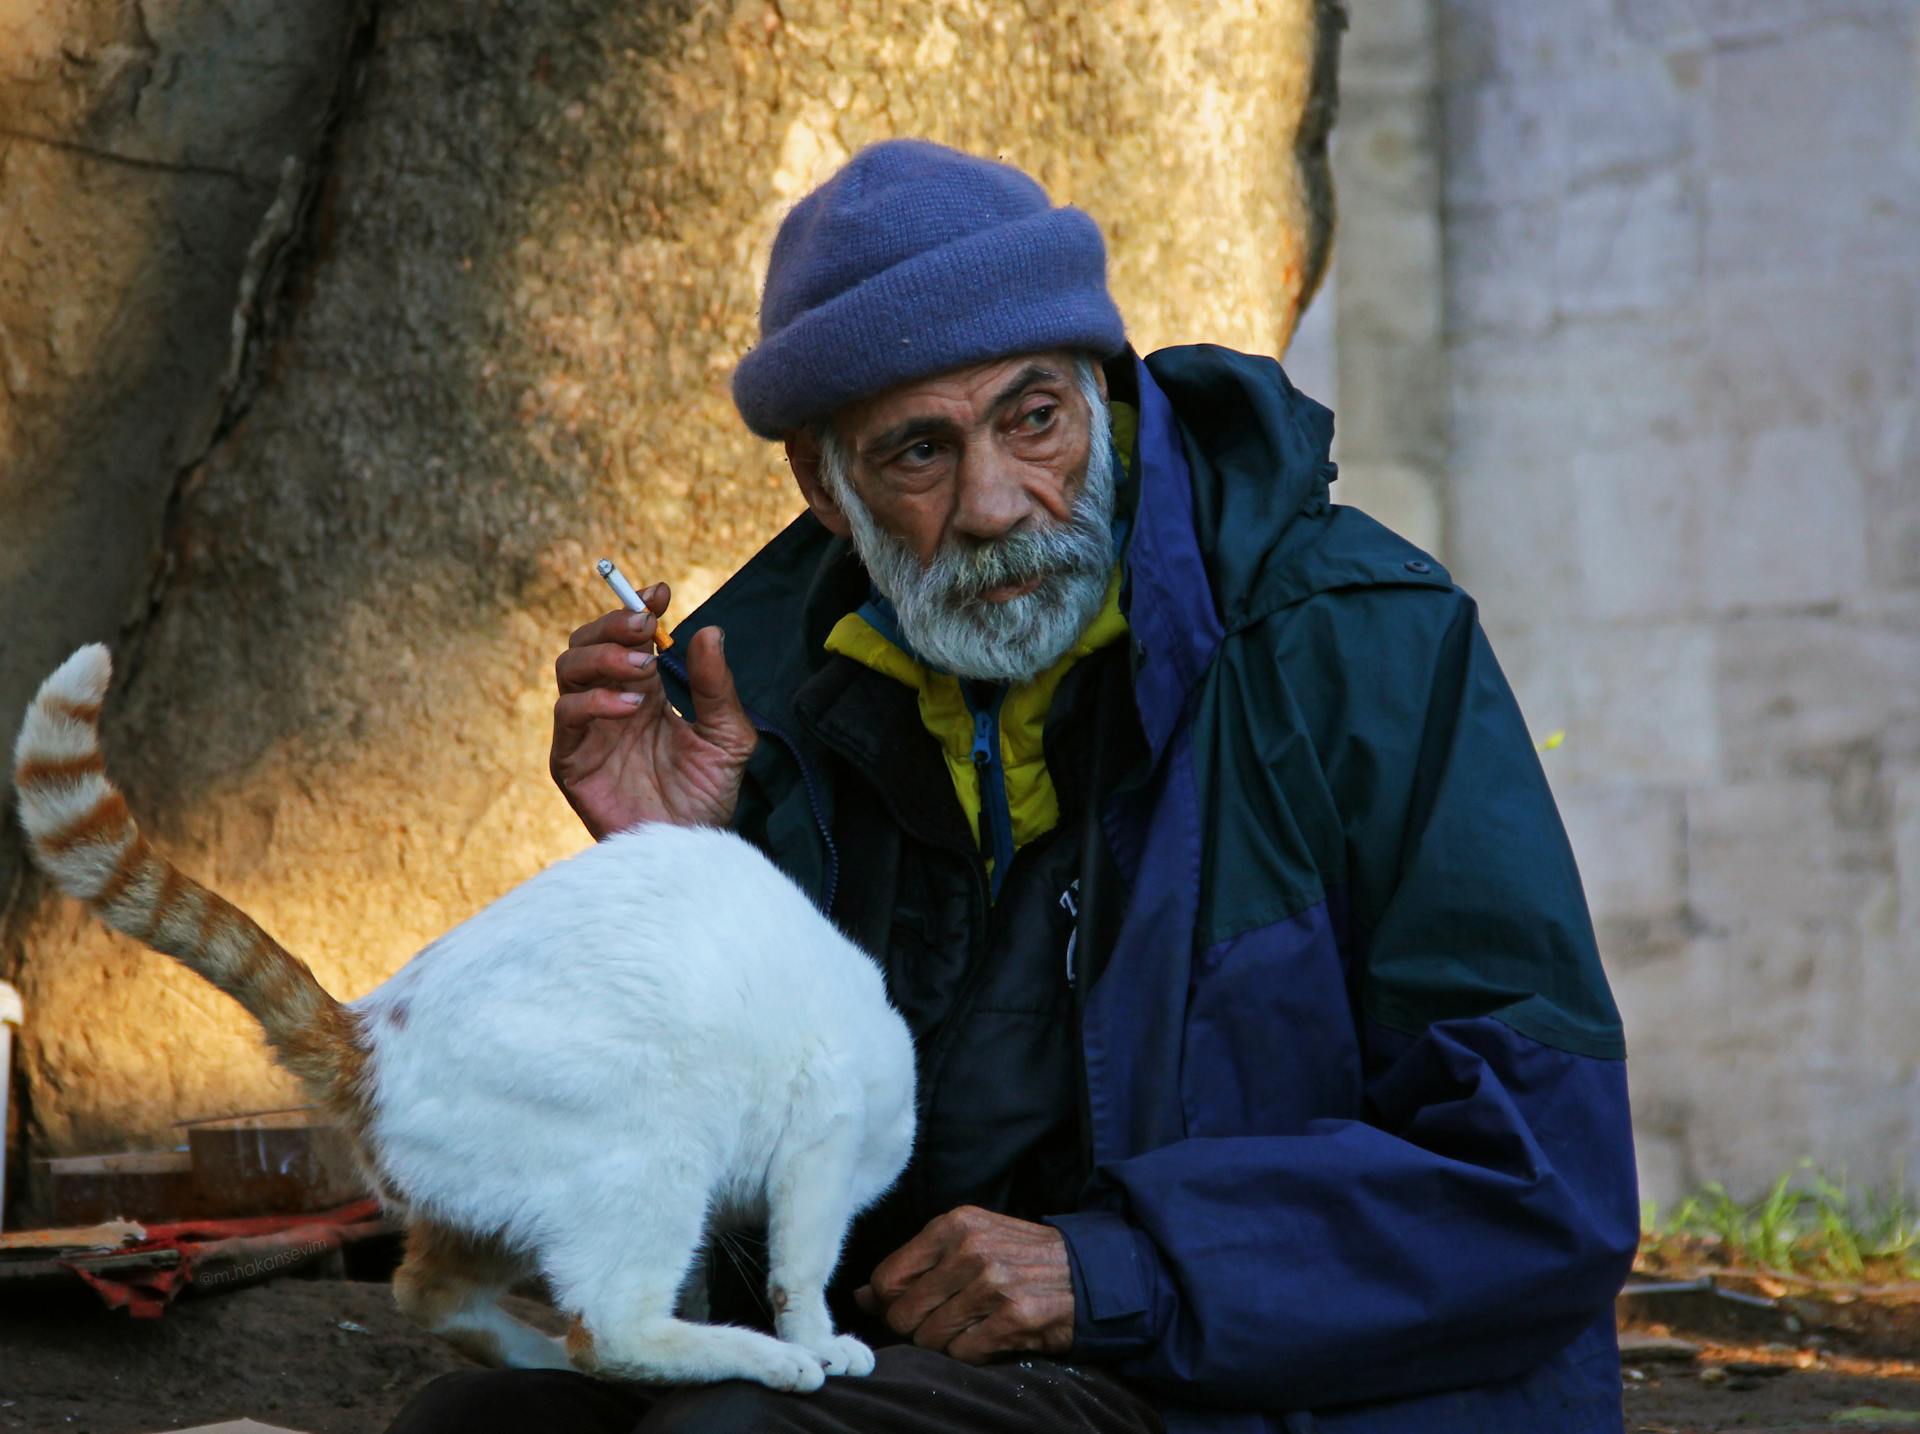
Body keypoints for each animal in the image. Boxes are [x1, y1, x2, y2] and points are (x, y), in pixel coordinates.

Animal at [13, 648, 913, 1389]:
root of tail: (366, 1031)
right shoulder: (825, 1131)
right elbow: (802, 1268)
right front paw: (820, 1340)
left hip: (499, 1210)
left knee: (426, 1294)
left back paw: (541, 1356)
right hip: (657, 1147)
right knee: (612, 1333)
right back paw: (762, 1360)